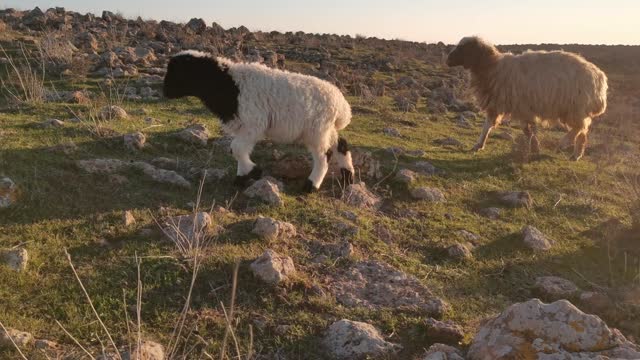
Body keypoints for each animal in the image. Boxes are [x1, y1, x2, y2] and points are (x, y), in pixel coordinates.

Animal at [162, 51, 356, 193]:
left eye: (178, 72)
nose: (165, 92)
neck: (228, 85)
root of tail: (342, 106)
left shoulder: (253, 123)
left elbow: (237, 149)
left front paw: (253, 171)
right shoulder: (243, 126)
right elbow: (237, 150)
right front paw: (241, 178)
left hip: (317, 129)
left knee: (324, 156)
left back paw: (311, 185)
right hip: (326, 128)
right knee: (341, 145)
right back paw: (348, 176)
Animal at [448, 36, 608, 160]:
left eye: (463, 48)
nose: (448, 59)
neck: (492, 67)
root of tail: (599, 78)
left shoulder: (520, 106)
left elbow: (525, 130)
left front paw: (534, 147)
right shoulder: (499, 104)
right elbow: (487, 126)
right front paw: (478, 145)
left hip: (575, 107)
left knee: (579, 128)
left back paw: (563, 144)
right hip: (577, 109)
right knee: (582, 132)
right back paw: (576, 155)